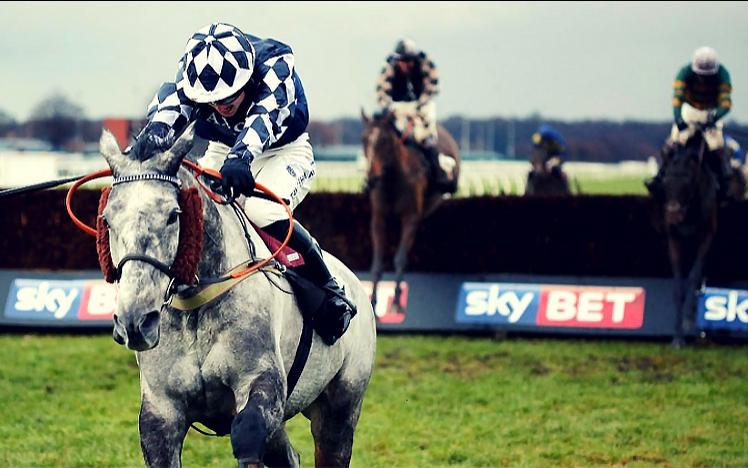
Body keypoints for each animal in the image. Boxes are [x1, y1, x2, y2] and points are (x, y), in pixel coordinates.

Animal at [96, 126, 376, 466]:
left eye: (173, 215)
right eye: (107, 219)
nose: (135, 321)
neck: (196, 308)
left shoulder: (260, 385)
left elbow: (247, 435)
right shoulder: (160, 410)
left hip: (340, 408)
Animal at [360, 110, 458, 312]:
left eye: (384, 140)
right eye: (363, 139)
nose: (371, 179)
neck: (392, 178)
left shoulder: (411, 217)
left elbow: (400, 258)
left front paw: (397, 300)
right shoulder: (379, 218)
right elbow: (377, 263)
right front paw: (373, 300)